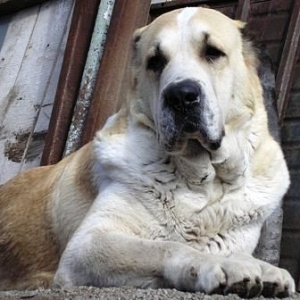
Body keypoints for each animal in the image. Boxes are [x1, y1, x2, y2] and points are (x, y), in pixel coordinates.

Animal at [0, 6, 296, 298]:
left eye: (212, 52)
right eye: (155, 61)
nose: (180, 96)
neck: (201, 181)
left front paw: (265, 268)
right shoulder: (88, 243)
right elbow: (165, 247)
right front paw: (220, 263)